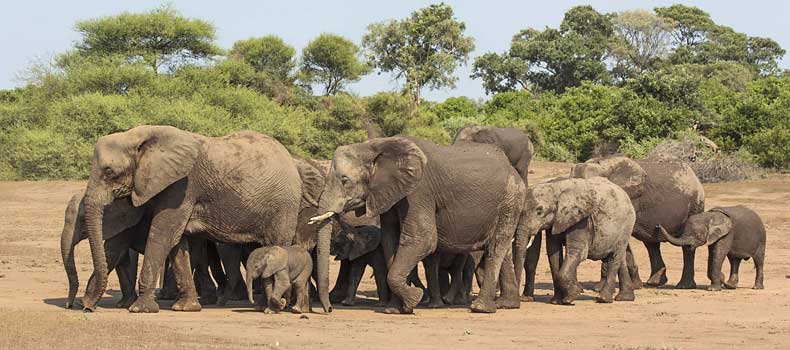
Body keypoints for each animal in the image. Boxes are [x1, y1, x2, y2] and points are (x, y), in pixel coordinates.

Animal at [79, 125, 316, 312]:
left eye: (110, 172)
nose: (87, 308)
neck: (138, 136)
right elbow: (177, 244)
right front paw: (186, 308)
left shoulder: (182, 187)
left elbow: (163, 235)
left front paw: (140, 309)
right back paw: (263, 306)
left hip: (283, 206)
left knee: (277, 244)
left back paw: (275, 307)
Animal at [312, 135, 528, 314]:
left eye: (345, 180)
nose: (329, 310)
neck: (376, 146)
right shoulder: (390, 194)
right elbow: (391, 242)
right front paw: (395, 309)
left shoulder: (419, 192)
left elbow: (422, 240)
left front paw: (414, 298)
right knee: (501, 249)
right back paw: (507, 305)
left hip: (510, 198)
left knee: (496, 247)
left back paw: (480, 308)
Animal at [572, 156, 708, 288]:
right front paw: (634, 286)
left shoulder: (629, 199)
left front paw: (600, 288)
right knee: (651, 243)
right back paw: (654, 283)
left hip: (695, 205)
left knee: (686, 245)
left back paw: (683, 286)